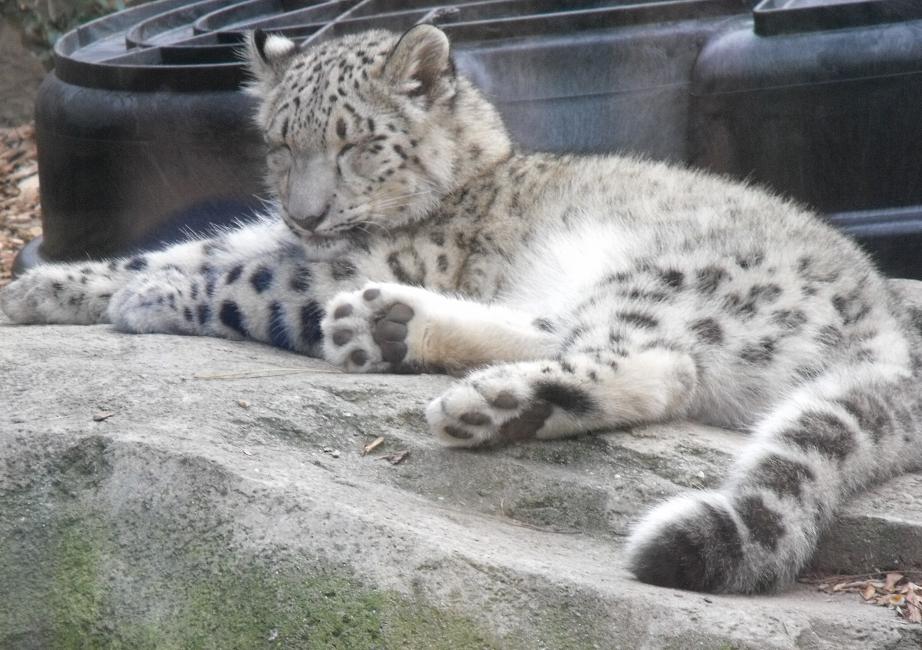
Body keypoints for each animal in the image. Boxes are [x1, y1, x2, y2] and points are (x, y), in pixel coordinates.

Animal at [3, 24, 921, 595]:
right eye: (280, 144)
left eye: (356, 143)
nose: (305, 214)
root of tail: (884, 316)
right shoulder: (292, 245)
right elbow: (188, 249)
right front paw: (47, 288)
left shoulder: (338, 264)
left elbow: (236, 280)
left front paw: (148, 296)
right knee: (567, 334)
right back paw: (388, 329)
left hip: (663, 281)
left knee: (657, 365)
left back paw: (489, 403)